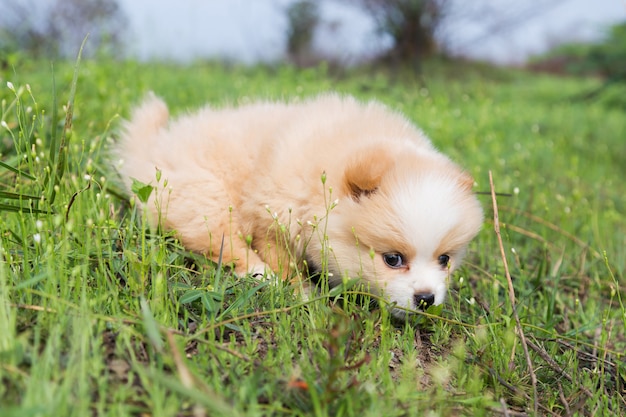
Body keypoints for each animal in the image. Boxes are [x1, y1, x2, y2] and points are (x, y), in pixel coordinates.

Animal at [113, 93, 482, 316]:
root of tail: (152, 151)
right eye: (393, 259)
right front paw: (302, 292)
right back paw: (261, 274)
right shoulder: (271, 218)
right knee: (226, 243)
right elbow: (282, 260)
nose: (426, 298)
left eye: (445, 260)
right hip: (206, 196)